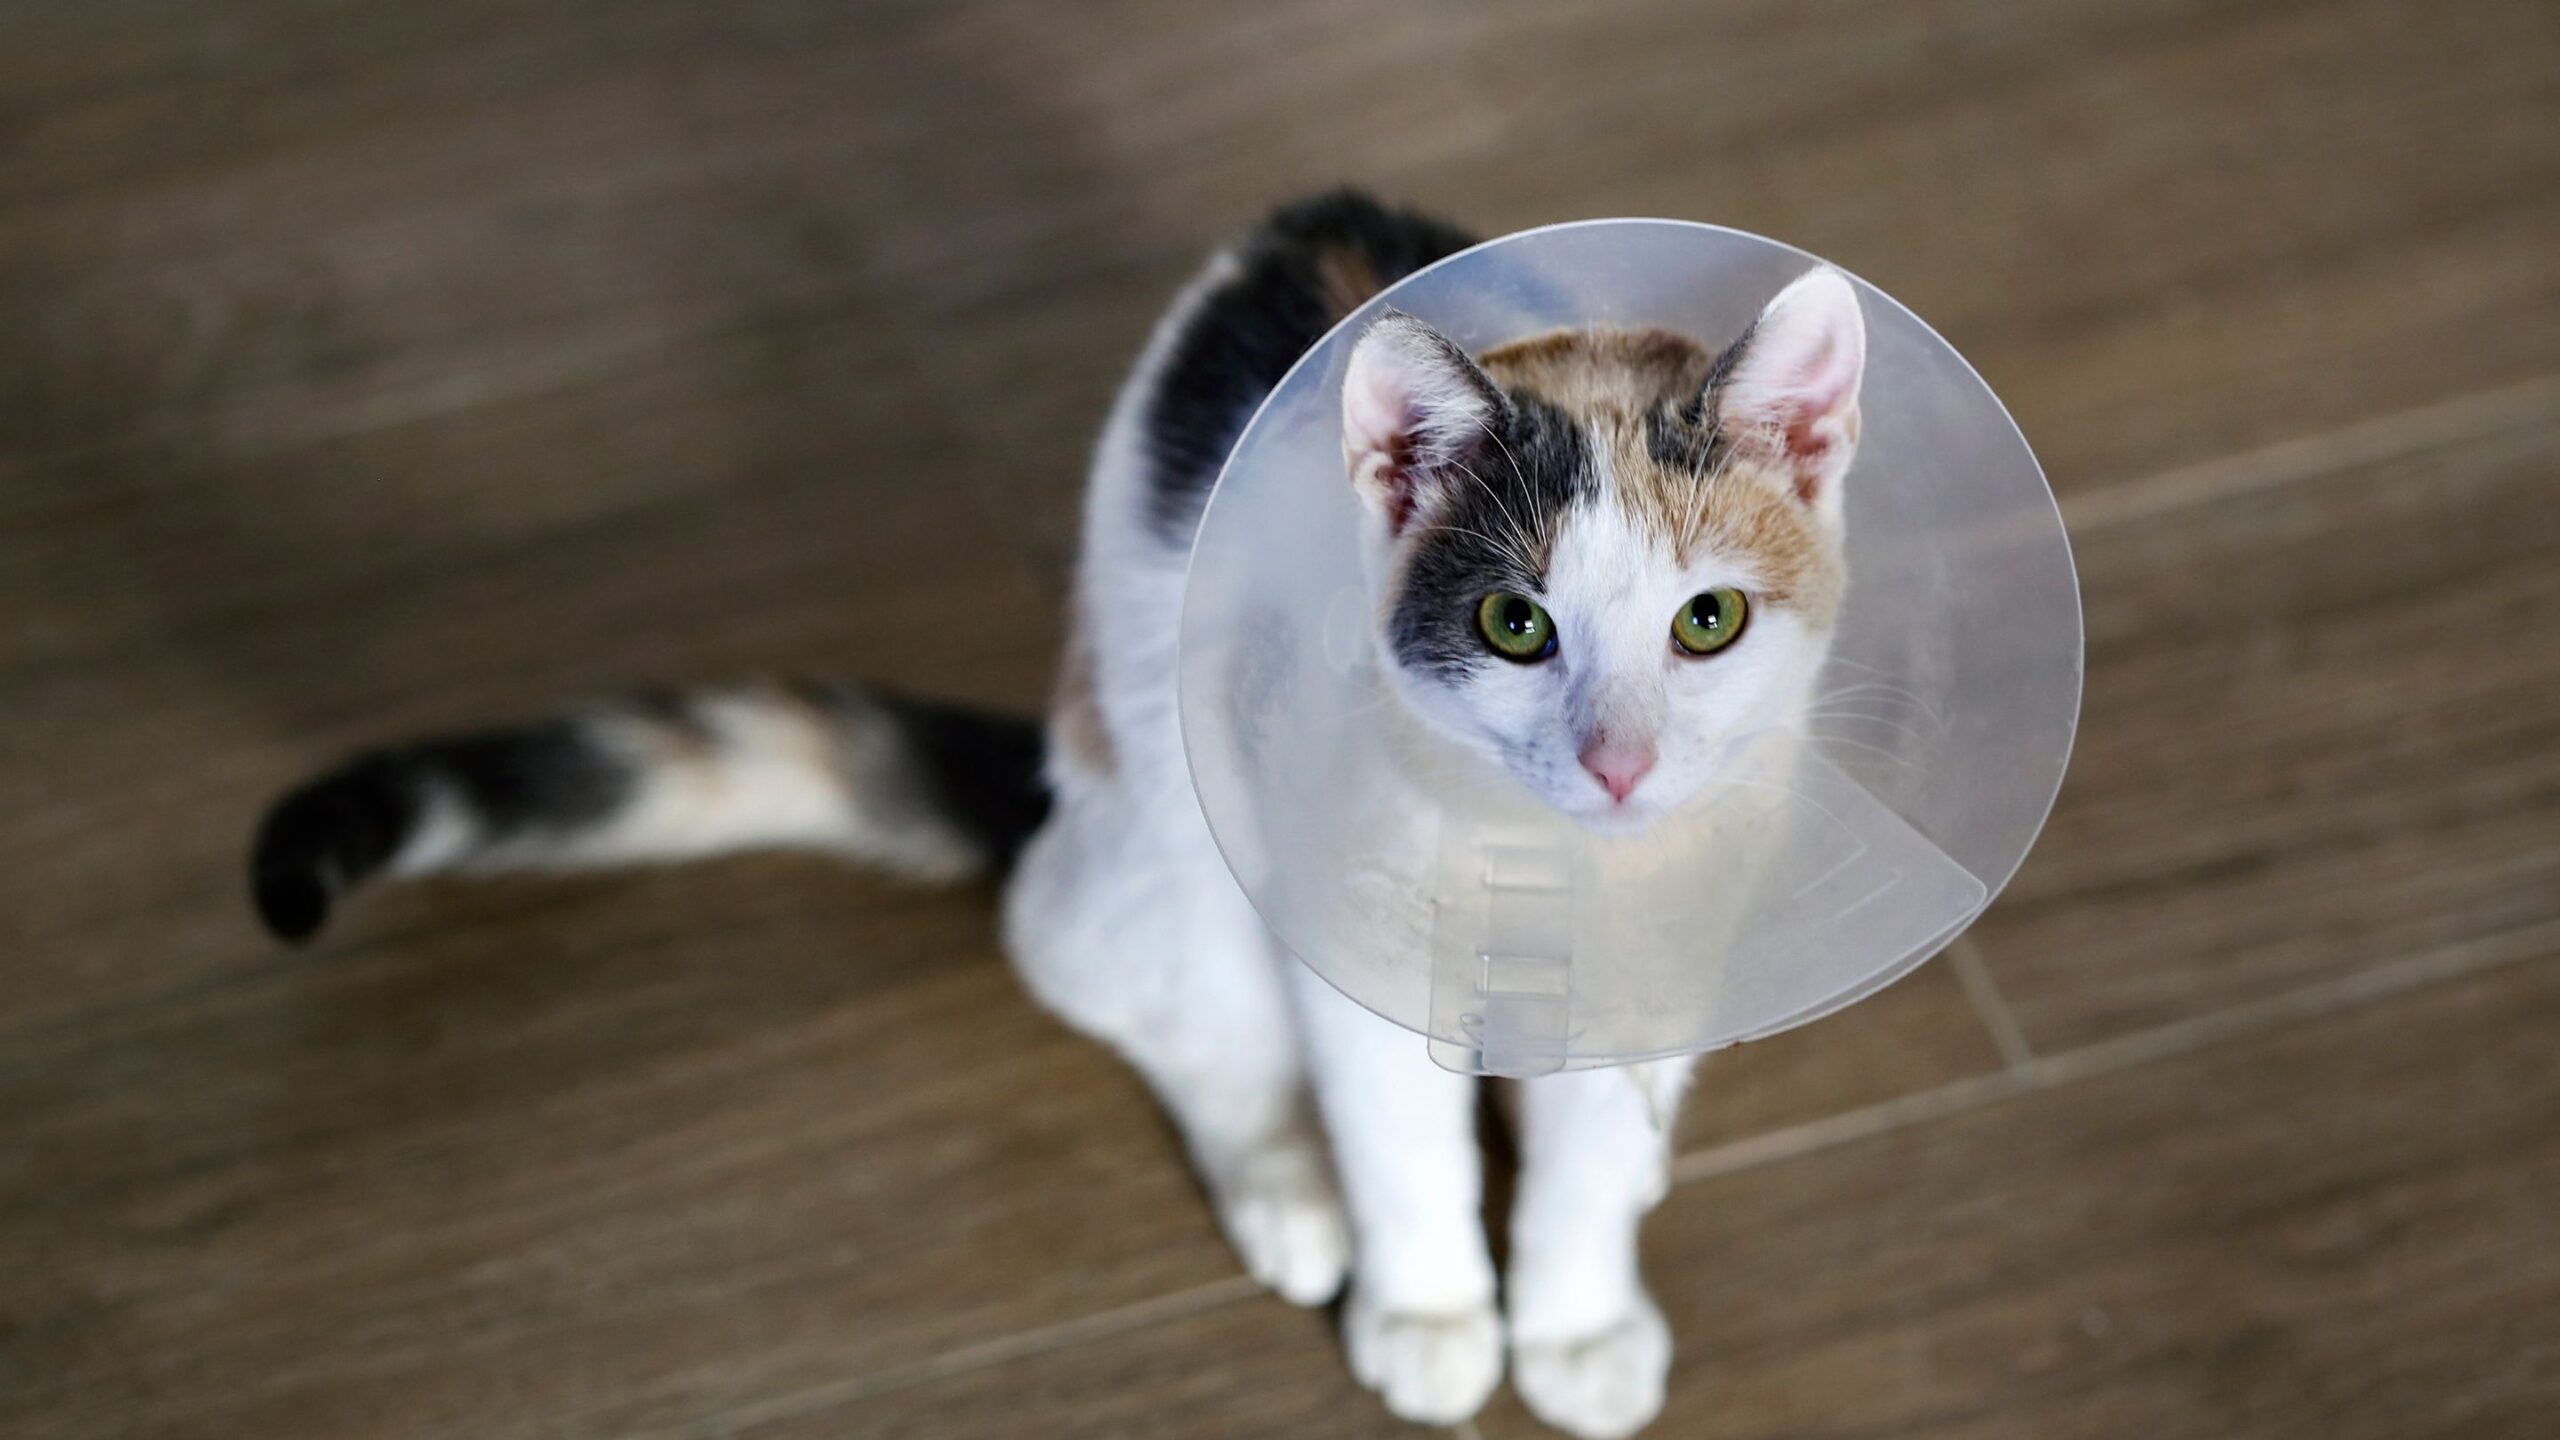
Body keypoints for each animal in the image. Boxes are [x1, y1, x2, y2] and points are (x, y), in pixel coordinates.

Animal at [249, 190, 1873, 1434]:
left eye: (1708, 621)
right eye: (1515, 626)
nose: (1618, 764)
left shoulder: (1671, 951)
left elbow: (1593, 1161)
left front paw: (1577, 1321)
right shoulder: (1334, 933)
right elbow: (1395, 1132)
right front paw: (1429, 1309)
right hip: (1171, 830)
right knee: (1138, 993)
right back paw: (1288, 1193)